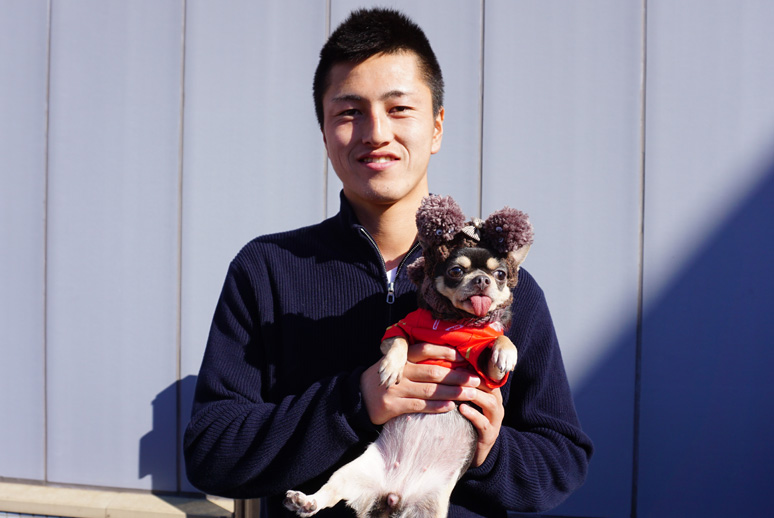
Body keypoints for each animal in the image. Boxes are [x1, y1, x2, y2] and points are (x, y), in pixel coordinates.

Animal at [284, 195, 533, 518]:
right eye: (456, 271)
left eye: (501, 274)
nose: (482, 280)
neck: (458, 322)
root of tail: (393, 497)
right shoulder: (398, 331)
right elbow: (400, 342)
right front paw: (392, 367)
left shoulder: (485, 373)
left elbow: (500, 338)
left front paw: (505, 352)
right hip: (350, 473)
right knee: (326, 495)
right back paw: (305, 501)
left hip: (432, 509)